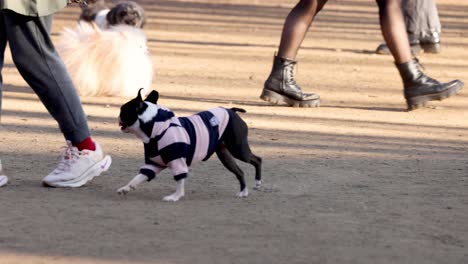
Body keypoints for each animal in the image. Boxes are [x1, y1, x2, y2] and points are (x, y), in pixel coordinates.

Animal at [117, 89, 264, 201]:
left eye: (123, 110)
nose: (118, 117)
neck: (156, 128)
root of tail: (231, 110)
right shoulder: (154, 163)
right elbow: (138, 177)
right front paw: (126, 188)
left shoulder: (177, 161)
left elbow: (179, 180)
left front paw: (175, 196)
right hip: (225, 156)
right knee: (240, 171)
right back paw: (243, 192)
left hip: (238, 149)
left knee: (257, 160)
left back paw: (258, 183)